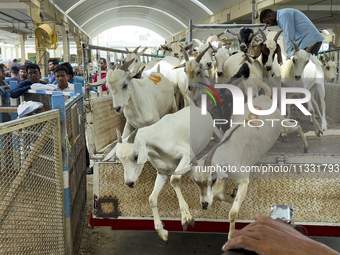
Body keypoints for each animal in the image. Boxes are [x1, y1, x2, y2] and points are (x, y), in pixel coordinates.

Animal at [113, 99, 220, 241]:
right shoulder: (162, 172)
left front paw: (187, 218)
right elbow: (152, 199)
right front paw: (162, 231)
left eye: (136, 156)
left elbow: (174, 179)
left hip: (215, 130)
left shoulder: (187, 156)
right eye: (120, 159)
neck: (159, 139)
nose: (129, 183)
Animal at [191, 95, 308, 239]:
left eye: (212, 180)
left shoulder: (243, 181)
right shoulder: (224, 176)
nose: (204, 205)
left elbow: (232, 212)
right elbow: (219, 194)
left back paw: (305, 146)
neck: (227, 149)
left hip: (283, 124)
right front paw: (232, 195)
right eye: (195, 182)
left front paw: (231, 236)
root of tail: (264, 97)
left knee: (296, 125)